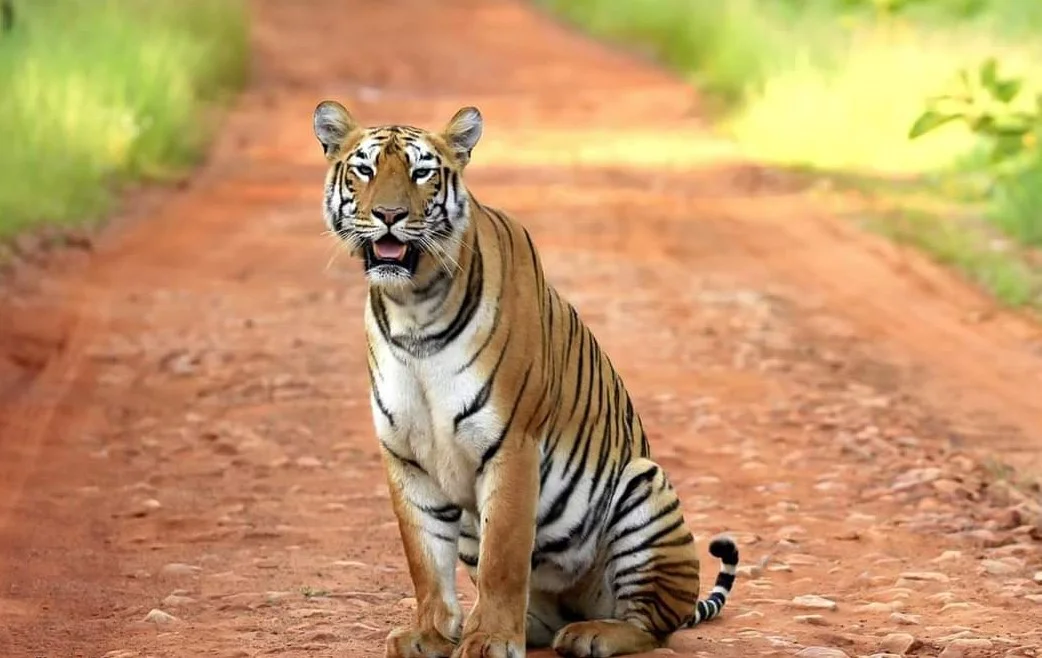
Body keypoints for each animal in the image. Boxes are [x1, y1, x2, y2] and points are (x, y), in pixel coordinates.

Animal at [308, 99, 741, 658]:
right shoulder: (405, 456)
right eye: (364, 169)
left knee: (653, 626)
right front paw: (431, 633)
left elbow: (505, 556)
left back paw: (590, 634)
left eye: (421, 172)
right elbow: (424, 557)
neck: (413, 308)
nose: (389, 215)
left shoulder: (511, 443)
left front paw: (490, 639)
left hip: (642, 485)